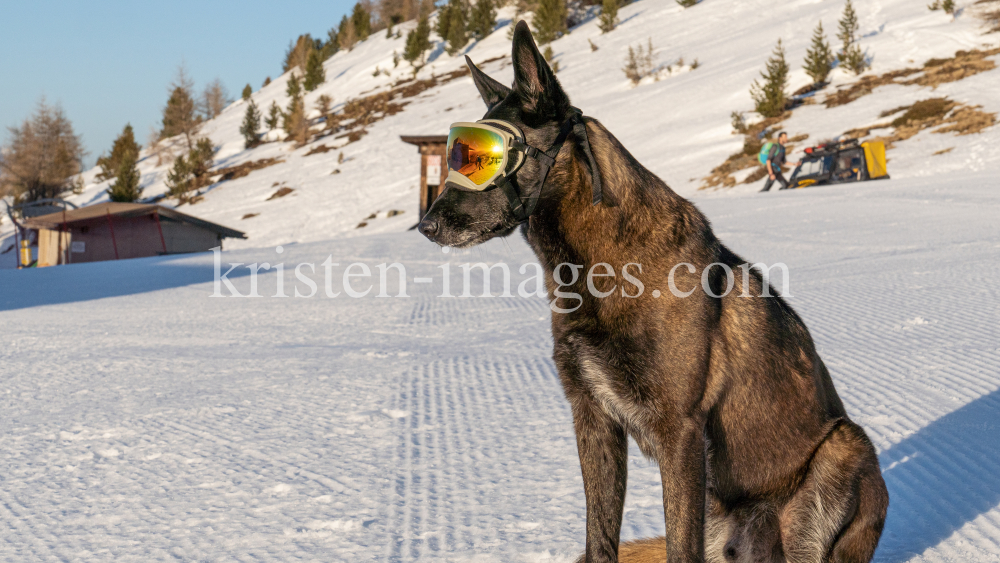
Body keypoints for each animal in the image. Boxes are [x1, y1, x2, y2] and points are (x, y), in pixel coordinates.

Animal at [418, 22, 888, 563]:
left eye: (485, 159)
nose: (426, 225)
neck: (598, 270)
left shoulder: (678, 431)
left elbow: (679, 547)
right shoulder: (594, 419)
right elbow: (599, 538)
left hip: (841, 451)